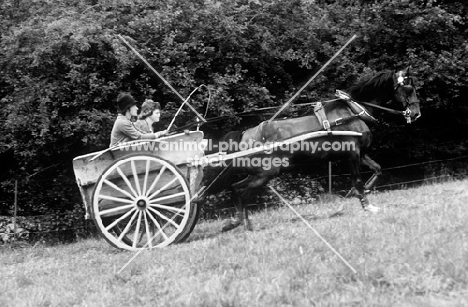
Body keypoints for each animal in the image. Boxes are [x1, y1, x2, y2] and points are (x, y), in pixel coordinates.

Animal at [210, 67, 422, 231]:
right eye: (409, 88)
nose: (416, 114)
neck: (353, 112)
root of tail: (245, 136)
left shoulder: (360, 153)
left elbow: (378, 169)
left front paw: (359, 193)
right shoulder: (352, 154)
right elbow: (358, 181)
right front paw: (368, 206)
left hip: (259, 173)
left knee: (236, 189)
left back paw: (241, 223)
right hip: (266, 173)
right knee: (241, 192)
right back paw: (239, 223)